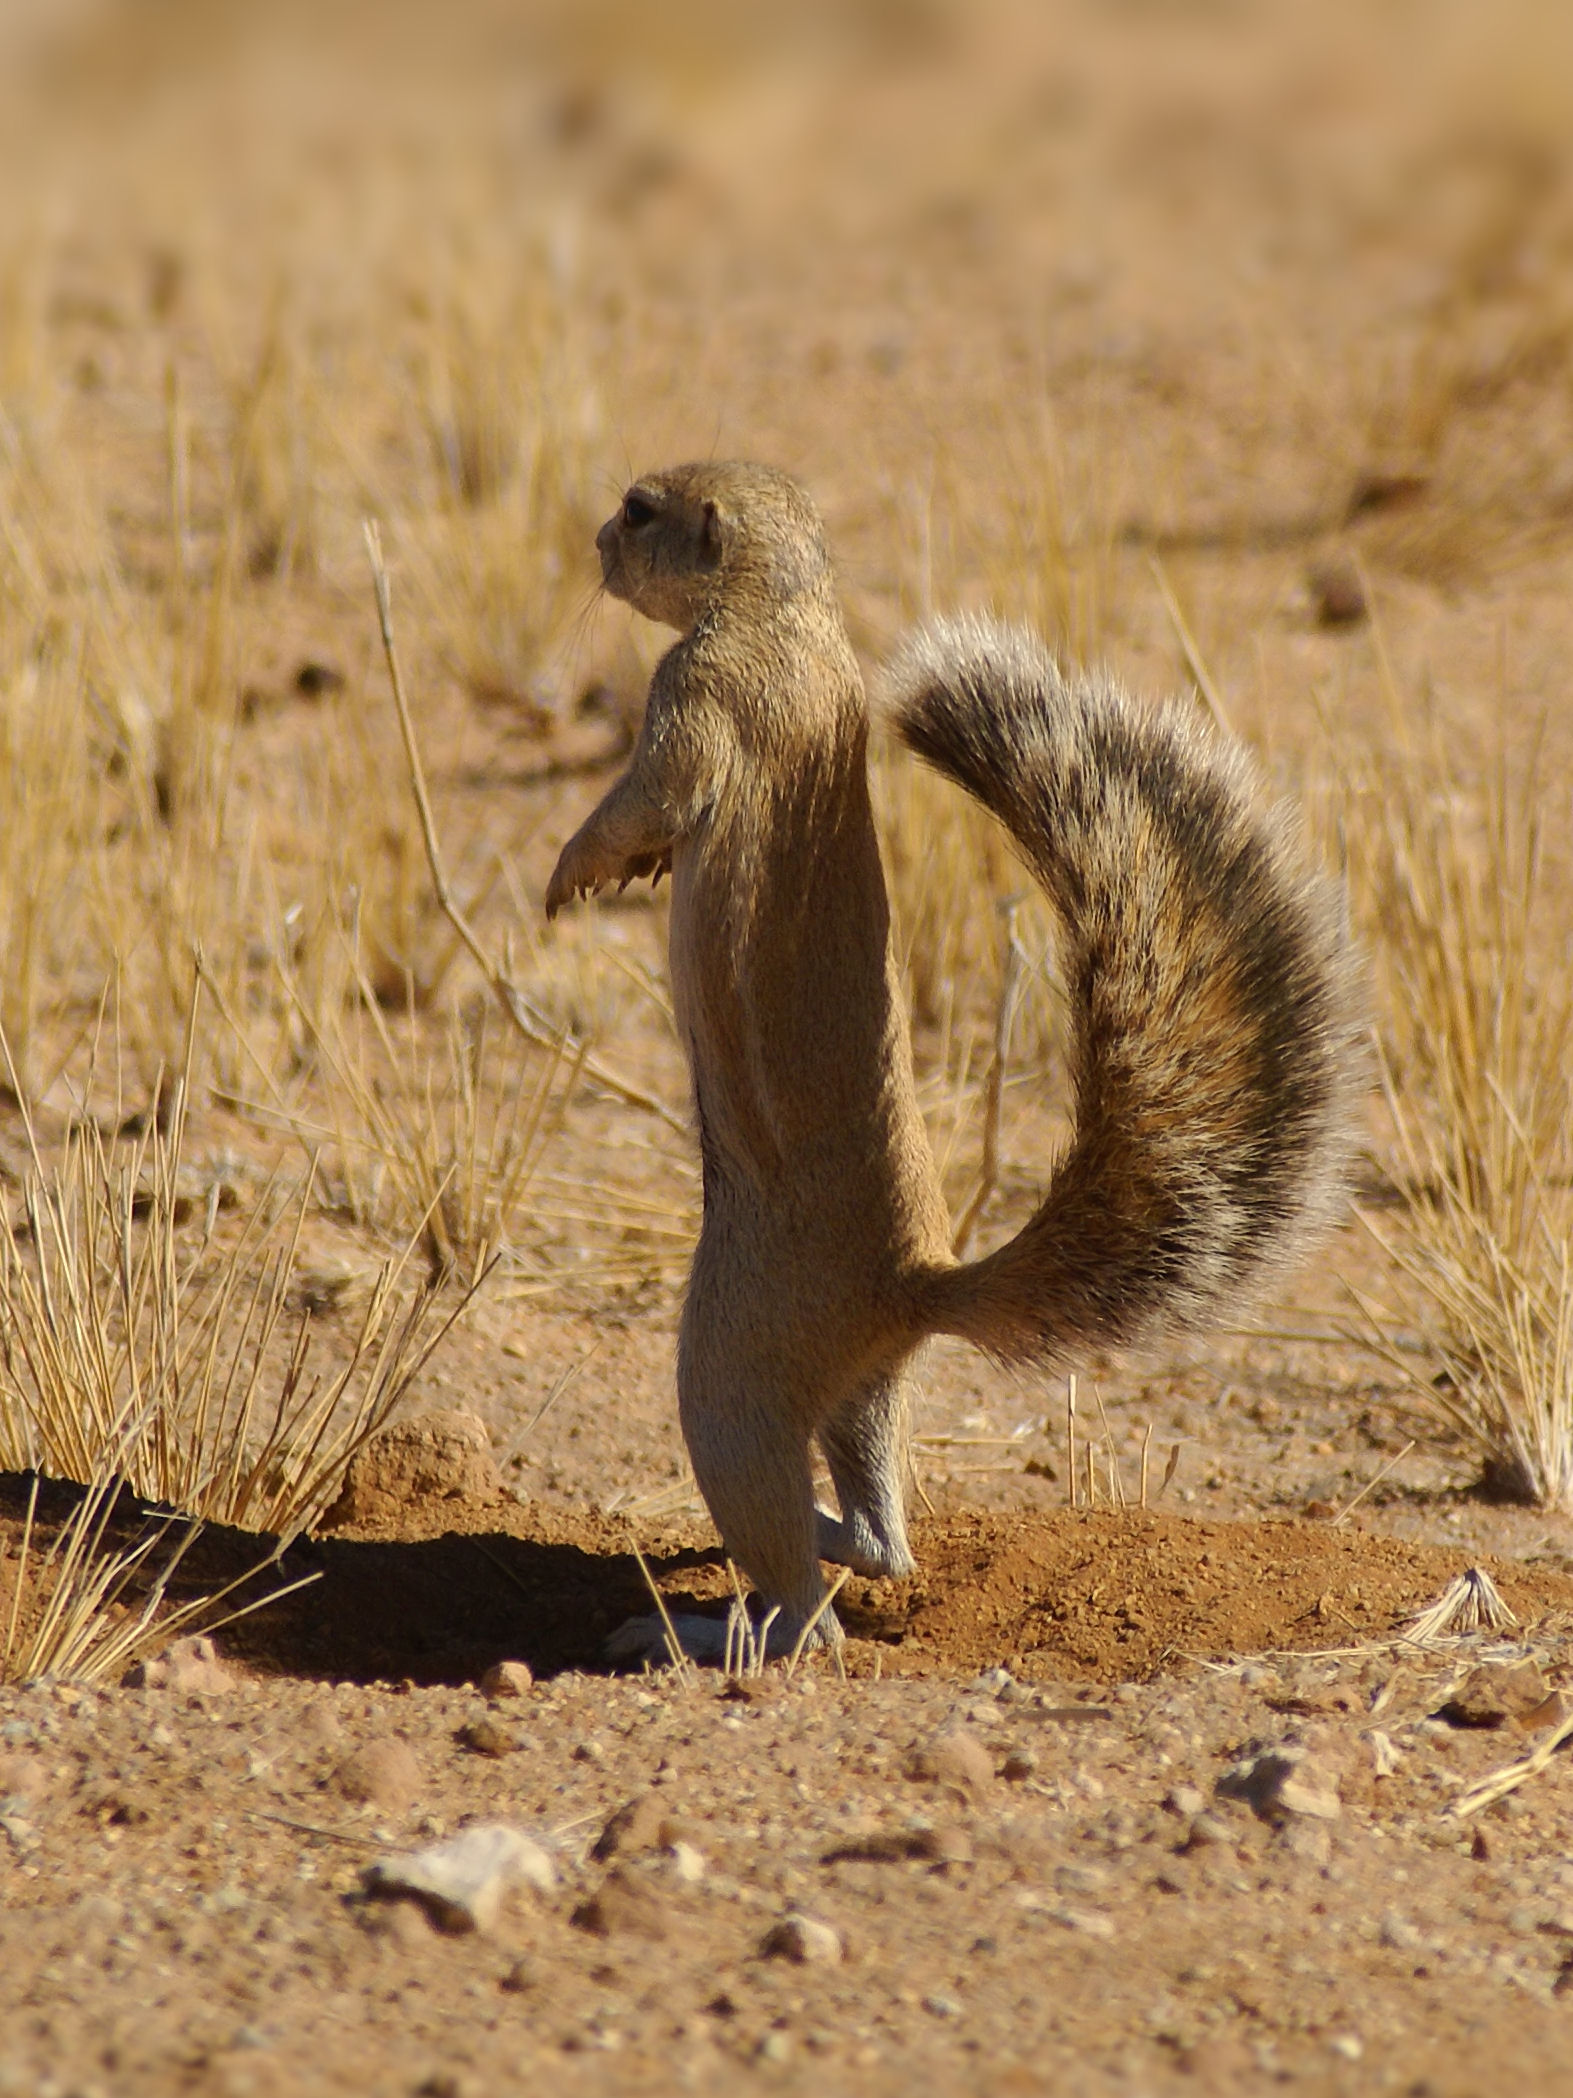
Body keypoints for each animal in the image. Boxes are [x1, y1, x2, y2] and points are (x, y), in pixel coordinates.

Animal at [545, 459, 1367, 1653]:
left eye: (641, 509)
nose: (599, 544)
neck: (786, 616)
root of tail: (911, 1289)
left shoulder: (693, 700)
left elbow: (645, 797)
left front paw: (574, 868)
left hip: (726, 1373)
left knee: (806, 1600)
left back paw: (709, 1631)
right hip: (869, 1390)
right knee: (886, 1535)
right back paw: (829, 1539)